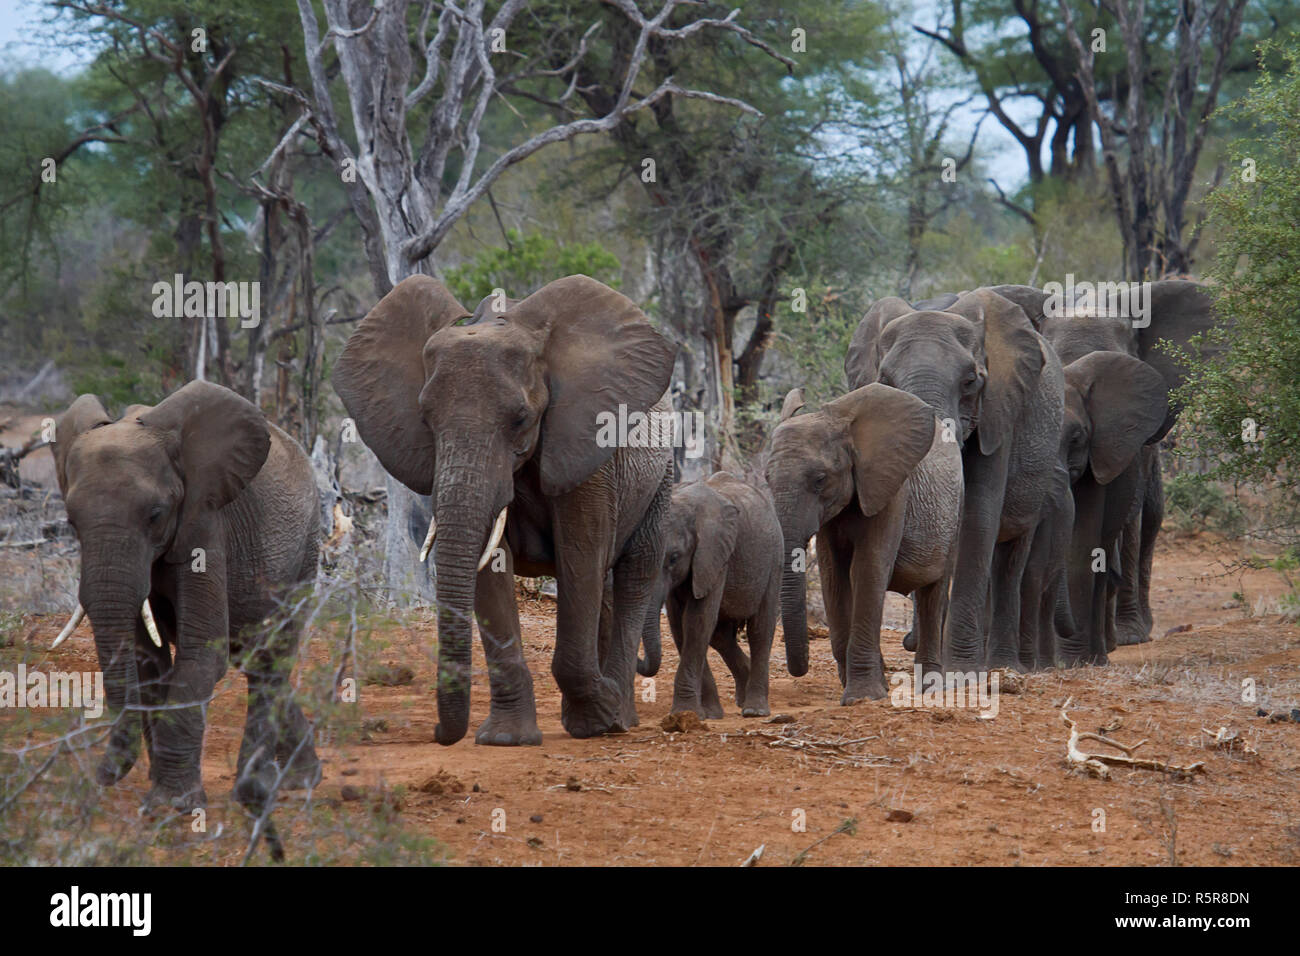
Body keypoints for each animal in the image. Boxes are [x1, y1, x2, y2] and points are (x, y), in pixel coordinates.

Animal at [53, 382, 322, 853]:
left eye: (155, 515)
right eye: (71, 522)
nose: (103, 776)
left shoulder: (205, 519)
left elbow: (201, 656)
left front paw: (171, 804)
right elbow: (149, 662)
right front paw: (158, 791)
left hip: (305, 550)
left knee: (270, 658)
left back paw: (254, 791)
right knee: (256, 660)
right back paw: (297, 780)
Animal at [335, 273, 676, 743]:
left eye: (520, 419)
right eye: (426, 421)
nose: (439, 732)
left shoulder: (585, 448)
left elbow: (581, 554)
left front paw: (598, 720)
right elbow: (489, 566)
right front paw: (506, 739)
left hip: (661, 478)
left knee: (634, 575)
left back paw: (618, 718)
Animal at [639, 470, 780, 717]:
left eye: (674, 558)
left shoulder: (714, 556)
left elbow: (697, 621)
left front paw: (685, 713)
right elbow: (681, 626)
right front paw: (708, 715)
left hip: (774, 558)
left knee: (760, 628)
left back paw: (754, 710)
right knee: (720, 636)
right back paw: (742, 696)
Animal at [759, 382, 967, 702]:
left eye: (820, 479)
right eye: (766, 478)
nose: (800, 669)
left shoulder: (891, 491)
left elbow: (867, 568)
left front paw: (862, 698)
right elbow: (834, 576)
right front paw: (869, 689)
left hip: (956, 510)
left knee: (934, 590)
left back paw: (929, 688)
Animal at [842, 287, 1066, 671]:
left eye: (970, 381)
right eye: (885, 381)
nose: (908, 642)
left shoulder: (999, 412)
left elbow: (977, 516)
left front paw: (961, 669)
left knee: (1011, 555)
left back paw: (1005, 665)